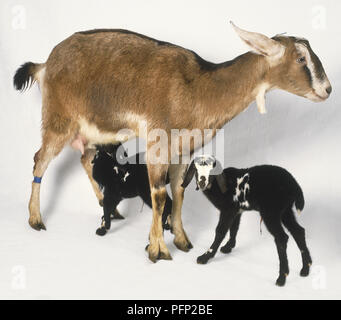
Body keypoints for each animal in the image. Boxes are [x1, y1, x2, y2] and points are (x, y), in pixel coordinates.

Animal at [13, 23, 330, 262]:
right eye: (301, 59)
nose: (327, 89)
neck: (200, 88)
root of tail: (44, 65)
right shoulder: (158, 143)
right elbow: (159, 194)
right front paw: (158, 250)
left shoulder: (184, 149)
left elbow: (178, 192)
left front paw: (181, 240)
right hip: (59, 120)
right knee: (40, 159)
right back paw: (36, 219)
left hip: (96, 130)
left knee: (85, 158)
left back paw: (109, 208)